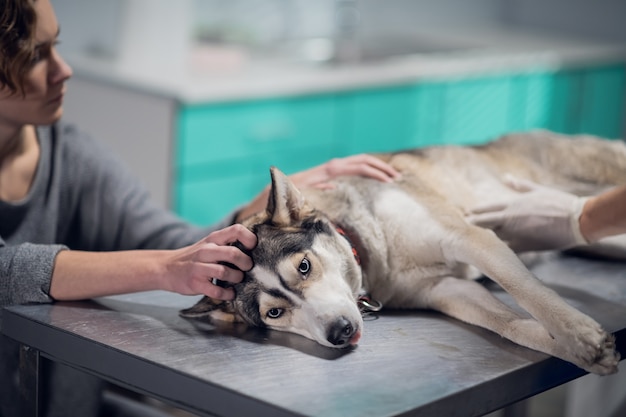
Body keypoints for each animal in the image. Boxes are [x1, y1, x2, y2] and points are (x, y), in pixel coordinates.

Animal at [178, 130, 620, 374]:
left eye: (304, 267)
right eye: (274, 313)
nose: (339, 332)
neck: (373, 249)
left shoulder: (469, 238)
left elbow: (525, 290)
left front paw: (580, 335)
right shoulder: (446, 290)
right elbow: (511, 326)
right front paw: (579, 352)